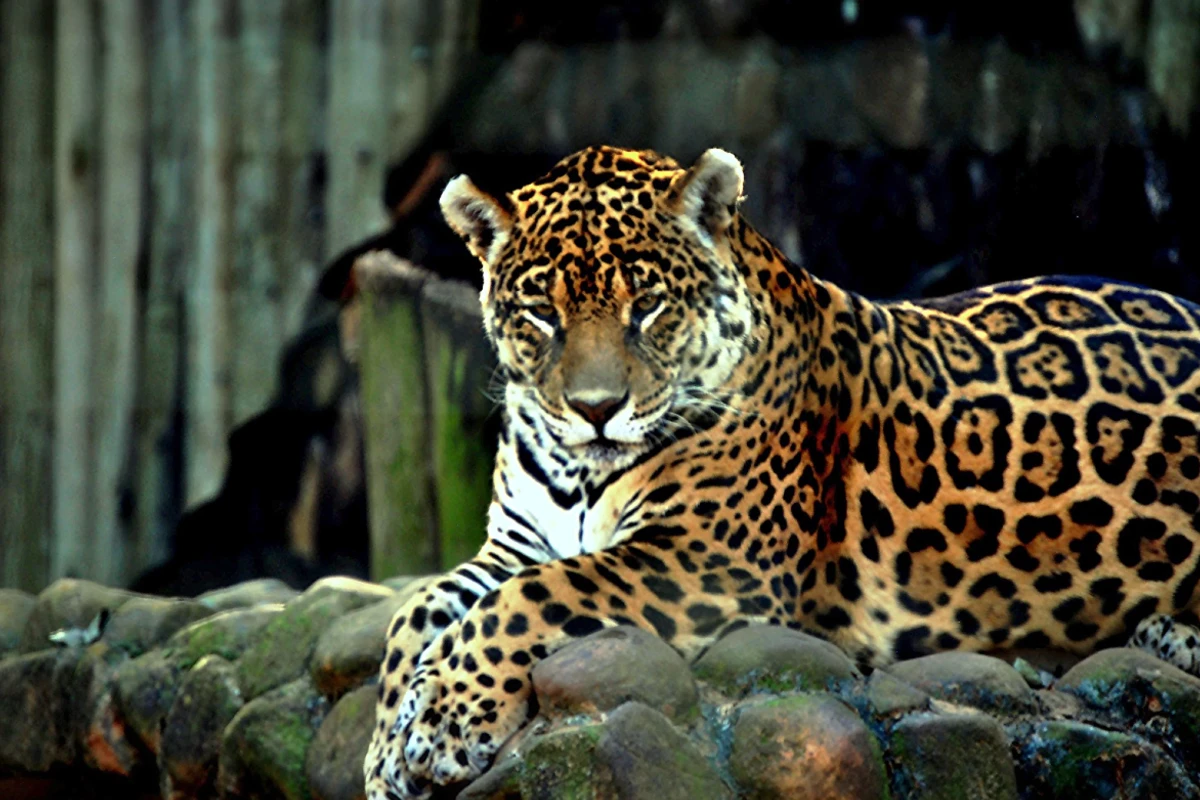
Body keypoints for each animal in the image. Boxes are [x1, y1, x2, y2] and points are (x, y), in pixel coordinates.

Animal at [365, 145, 1200, 799]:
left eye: (649, 305)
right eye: (541, 314)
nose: (596, 409)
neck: (579, 471)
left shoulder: (708, 559)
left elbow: (537, 597)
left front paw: (440, 720)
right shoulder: (515, 544)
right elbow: (418, 612)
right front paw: (385, 752)